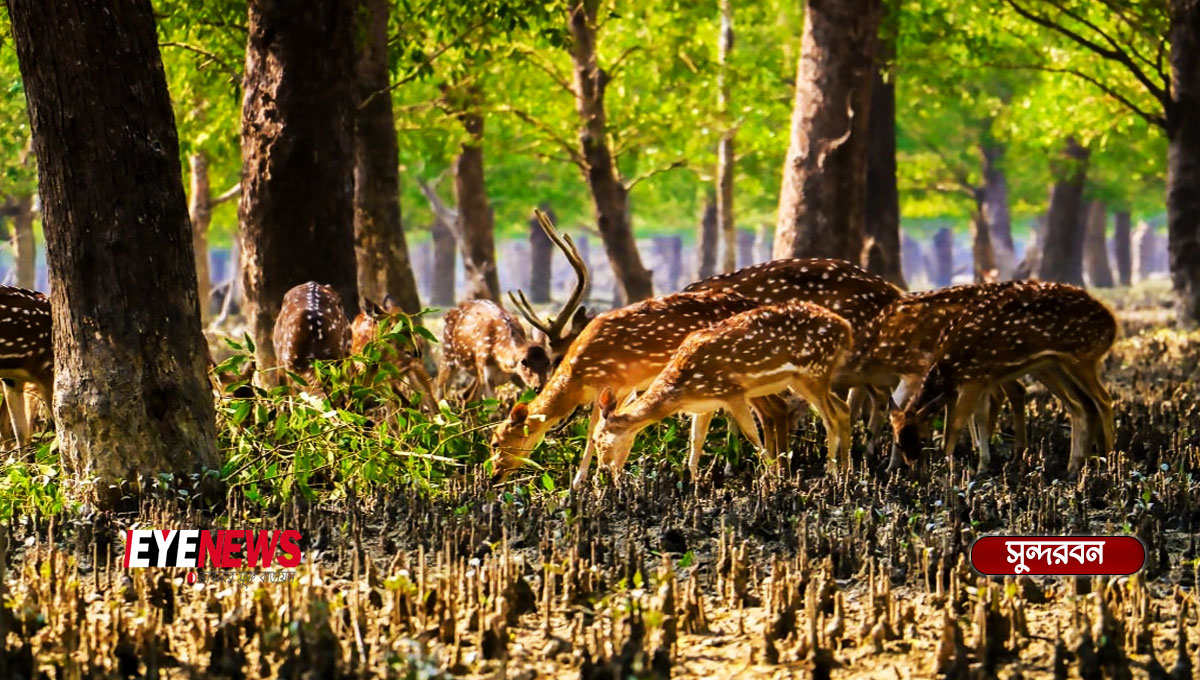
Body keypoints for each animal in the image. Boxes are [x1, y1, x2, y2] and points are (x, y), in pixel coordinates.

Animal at [489, 290, 758, 486]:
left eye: (496, 443)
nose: (493, 476)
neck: (578, 378)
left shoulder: (609, 381)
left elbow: (593, 429)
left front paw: (581, 483)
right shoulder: (627, 387)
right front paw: (615, 474)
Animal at [590, 301, 854, 482]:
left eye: (597, 438)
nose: (603, 469)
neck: (682, 389)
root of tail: (846, 328)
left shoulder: (732, 392)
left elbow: (751, 434)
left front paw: (771, 476)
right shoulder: (705, 404)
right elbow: (696, 439)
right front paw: (694, 481)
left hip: (814, 371)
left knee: (830, 418)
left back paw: (831, 472)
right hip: (807, 378)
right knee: (843, 408)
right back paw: (847, 471)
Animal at [888, 279, 1118, 477]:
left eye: (923, 439)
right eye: (898, 442)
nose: (915, 470)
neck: (949, 366)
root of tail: (1113, 324)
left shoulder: (974, 377)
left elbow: (956, 422)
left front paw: (949, 464)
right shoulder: (982, 379)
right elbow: (978, 416)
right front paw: (981, 464)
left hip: (1083, 356)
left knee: (1103, 399)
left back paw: (1108, 461)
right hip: (1056, 364)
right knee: (1079, 405)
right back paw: (1076, 466)